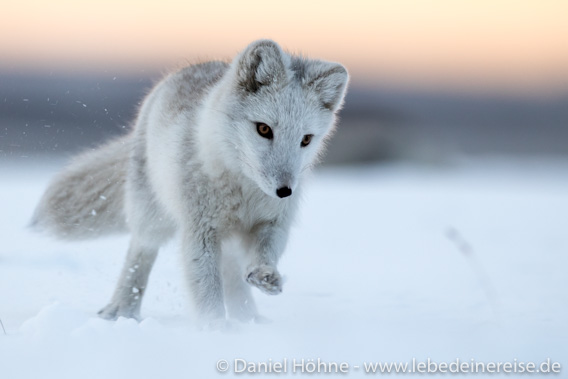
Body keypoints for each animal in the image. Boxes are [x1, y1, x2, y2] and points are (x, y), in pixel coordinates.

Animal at [33, 40, 350, 326]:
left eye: (306, 139)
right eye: (263, 129)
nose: (284, 191)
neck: (243, 190)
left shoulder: (272, 223)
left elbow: (264, 254)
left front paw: (264, 278)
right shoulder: (200, 231)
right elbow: (207, 289)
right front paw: (215, 330)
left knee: (232, 275)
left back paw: (249, 320)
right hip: (152, 215)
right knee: (139, 252)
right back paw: (121, 311)